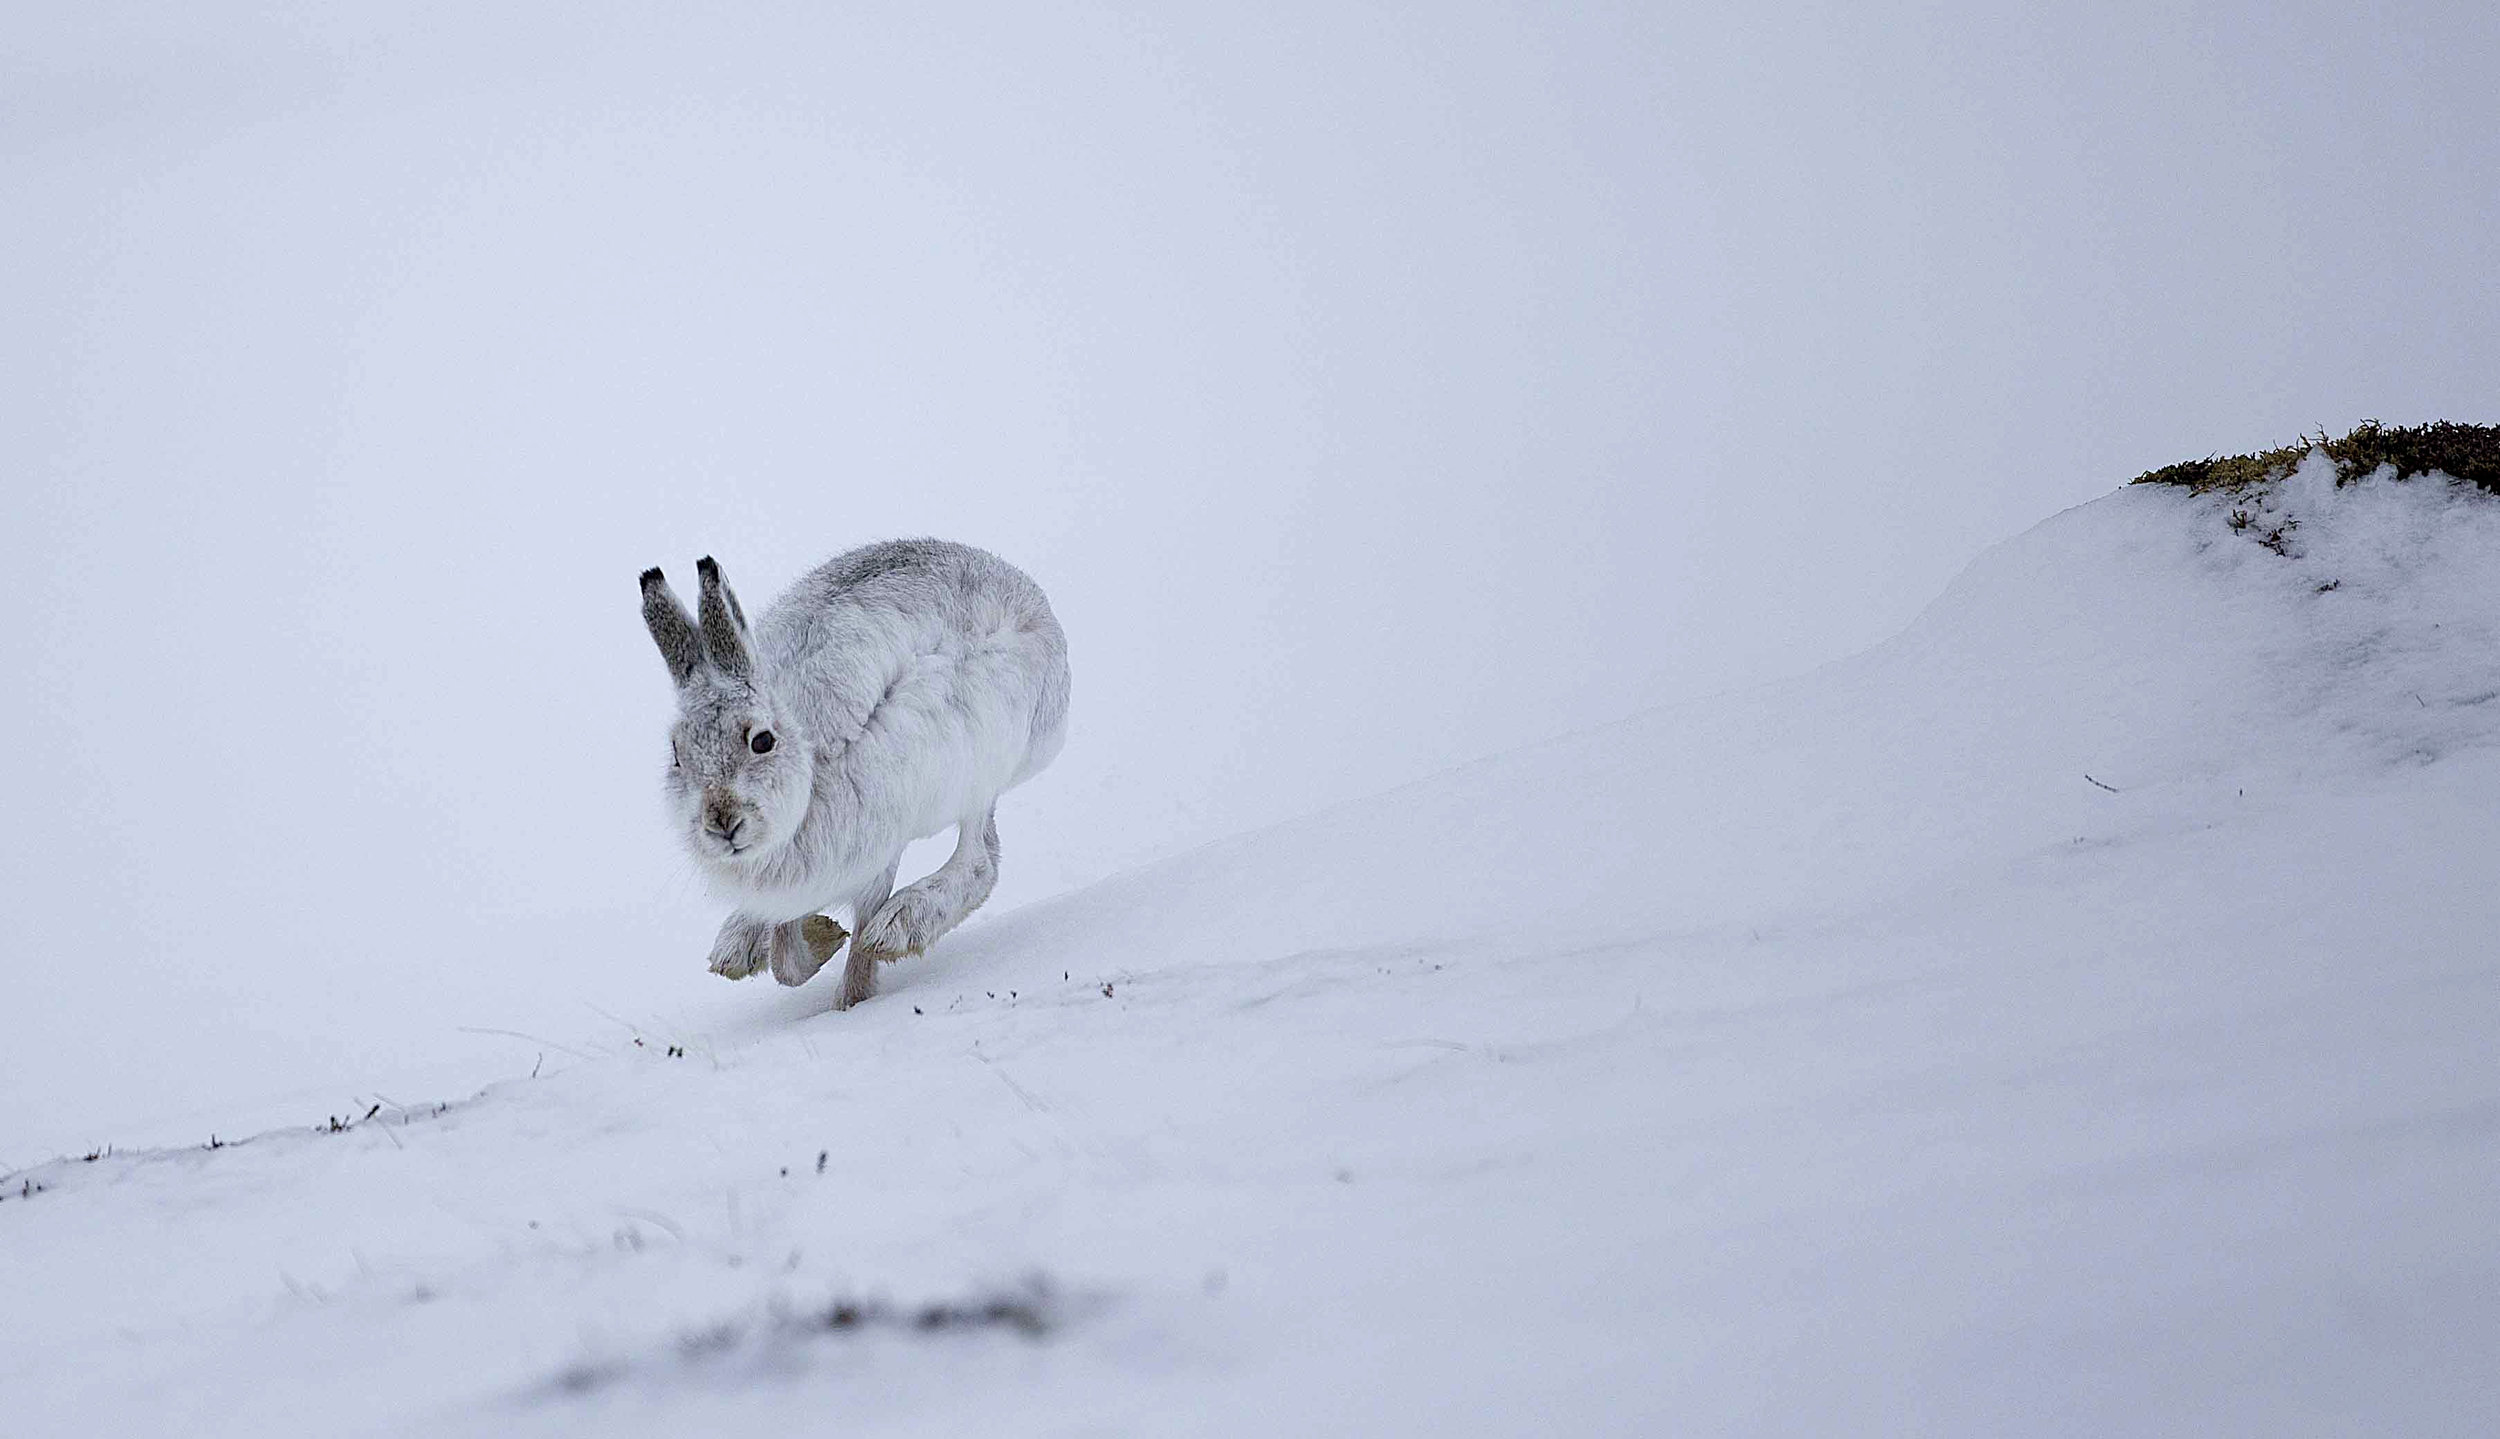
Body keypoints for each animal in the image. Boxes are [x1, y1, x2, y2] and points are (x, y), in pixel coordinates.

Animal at [638, 540, 1069, 1009]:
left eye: (762, 741)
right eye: (677, 754)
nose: (722, 823)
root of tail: (1029, 594)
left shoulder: (874, 853)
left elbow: (828, 951)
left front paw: (850, 998)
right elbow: (785, 956)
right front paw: (818, 938)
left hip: (982, 766)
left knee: (979, 860)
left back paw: (899, 926)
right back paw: (738, 944)